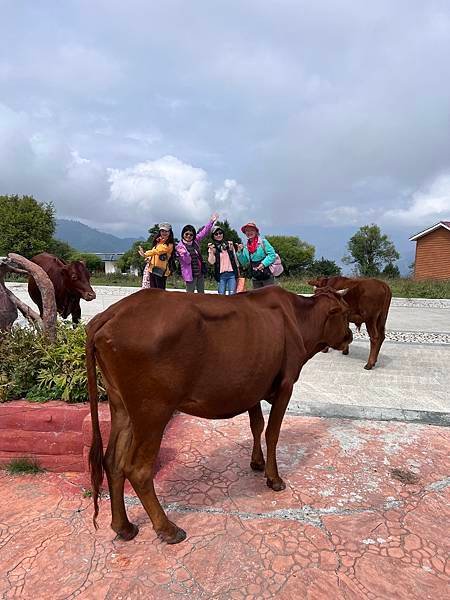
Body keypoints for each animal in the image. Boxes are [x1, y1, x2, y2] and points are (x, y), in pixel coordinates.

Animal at [86, 286, 354, 544]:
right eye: (345, 313)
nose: (350, 336)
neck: (299, 318)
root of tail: (112, 312)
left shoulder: (252, 386)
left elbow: (256, 425)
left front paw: (257, 462)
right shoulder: (286, 385)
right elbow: (272, 432)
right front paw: (274, 478)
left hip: (121, 406)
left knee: (112, 461)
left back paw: (124, 527)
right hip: (152, 410)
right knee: (137, 468)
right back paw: (168, 529)